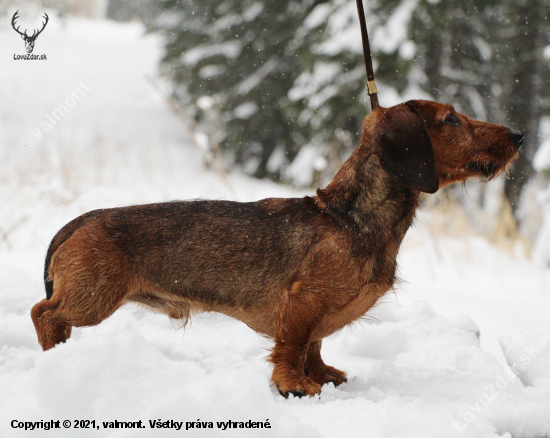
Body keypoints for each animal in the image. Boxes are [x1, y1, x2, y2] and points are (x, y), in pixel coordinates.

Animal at [31, 99, 528, 396]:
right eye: (451, 119)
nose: (520, 136)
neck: (347, 218)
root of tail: (77, 223)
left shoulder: (316, 313)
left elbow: (314, 346)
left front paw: (321, 375)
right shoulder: (303, 302)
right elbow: (292, 346)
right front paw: (294, 385)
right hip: (94, 297)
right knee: (44, 313)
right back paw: (55, 354)